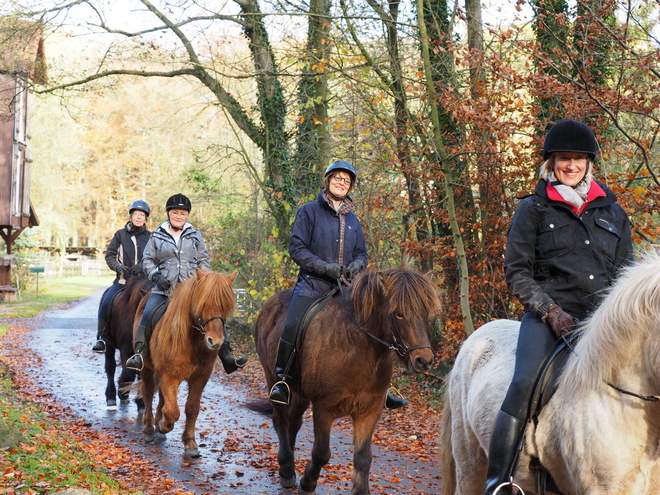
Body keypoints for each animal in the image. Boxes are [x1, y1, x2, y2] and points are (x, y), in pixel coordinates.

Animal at [135, 270, 237, 460]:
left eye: (226, 306)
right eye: (203, 303)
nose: (215, 341)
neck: (192, 342)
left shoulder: (199, 378)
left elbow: (191, 408)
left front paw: (190, 442)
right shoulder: (170, 376)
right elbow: (173, 411)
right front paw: (163, 426)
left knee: (162, 397)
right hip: (147, 369)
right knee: (148, 393)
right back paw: (149, 428)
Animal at [251, 268, 438, 495]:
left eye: (425, 312)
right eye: (398, 313)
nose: (424, 361)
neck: (357, 349)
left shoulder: (369, 410)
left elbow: (363, 458)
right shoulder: (324, 408)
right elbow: (321, 453)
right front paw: (307, 484)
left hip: (300, 393)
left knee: (293, 423)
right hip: (273, 379)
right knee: (280, 421)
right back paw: (286, 470)